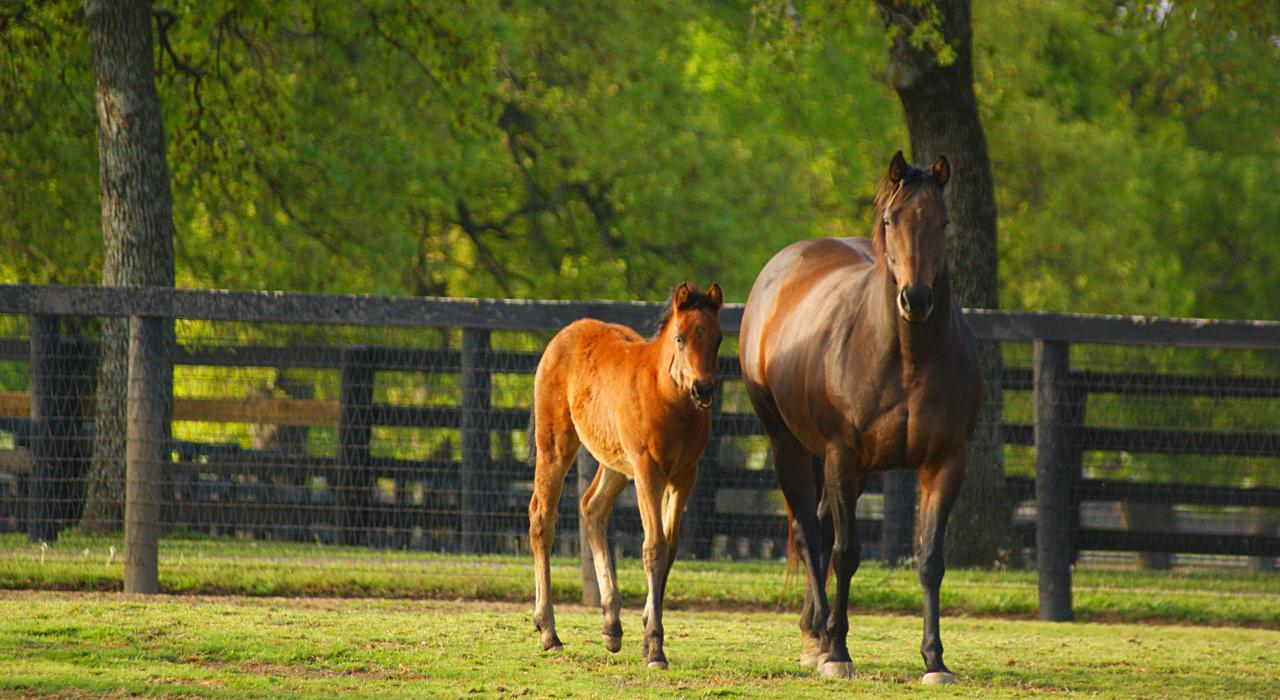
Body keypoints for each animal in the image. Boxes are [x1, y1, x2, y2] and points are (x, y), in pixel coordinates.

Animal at [527, 281, 724, 669]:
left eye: (719, 338)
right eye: (680, 338)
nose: (703, 389)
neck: (670, 398)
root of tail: (564, 334)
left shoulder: (684, 475)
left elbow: (671, 549)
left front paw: (648, 634)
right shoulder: (649, 470)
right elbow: (654, 547)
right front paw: (655, 648)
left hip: (616, 463)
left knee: (592, 508)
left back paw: (611, 626)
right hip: (556, 444)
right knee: (542, 516)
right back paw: (548, 631)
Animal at [738, 151, 982, 684]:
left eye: (943, 222)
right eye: (891, 220)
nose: (916, 299)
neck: (906, 357)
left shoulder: (945, 463)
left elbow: (930, 560)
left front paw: (935, 659)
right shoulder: (841, 456)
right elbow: (845, 553)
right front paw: (838, 653)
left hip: (856, 469)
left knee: (822, 527)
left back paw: (815, 630)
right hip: (789, 445)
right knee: (810, 533)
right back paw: (821, 640)